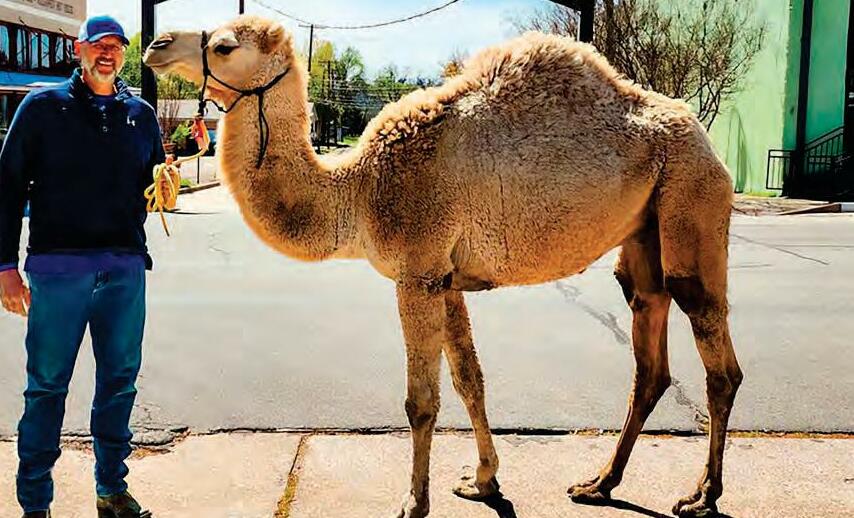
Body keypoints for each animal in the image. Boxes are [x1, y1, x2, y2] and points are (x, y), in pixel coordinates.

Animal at [144, 15, 742, 518]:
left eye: (224, 46)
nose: (156, 44)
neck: (359, 190)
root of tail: (707, 142)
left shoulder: (417, 274)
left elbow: (421, 401)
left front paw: (414, 501)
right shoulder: (446, 278)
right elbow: (469, 380)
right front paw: (483, 480)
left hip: (692, 199)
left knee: (718, 360)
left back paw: (701, 496)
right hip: (645, 237)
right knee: (649, 351)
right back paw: (599, 484)